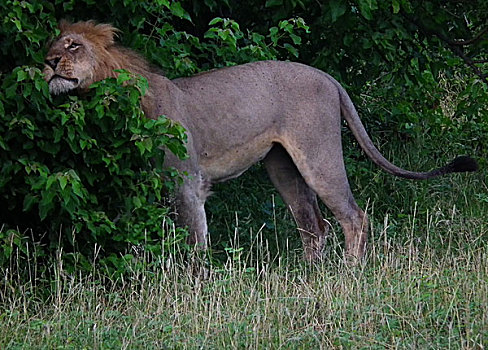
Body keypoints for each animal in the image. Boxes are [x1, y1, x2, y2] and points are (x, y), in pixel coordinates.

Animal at [43, 20, 478, 262]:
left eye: (74, 45)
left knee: (354, 216)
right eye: (51, 46)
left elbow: (195, 242)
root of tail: (329, 78)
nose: (47, 63)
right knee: (313, 223)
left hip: (317, 155)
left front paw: (197, 286)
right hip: (283, 165)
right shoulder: (156, 184)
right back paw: (309, 278)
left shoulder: (188, 181)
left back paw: (349, 274)